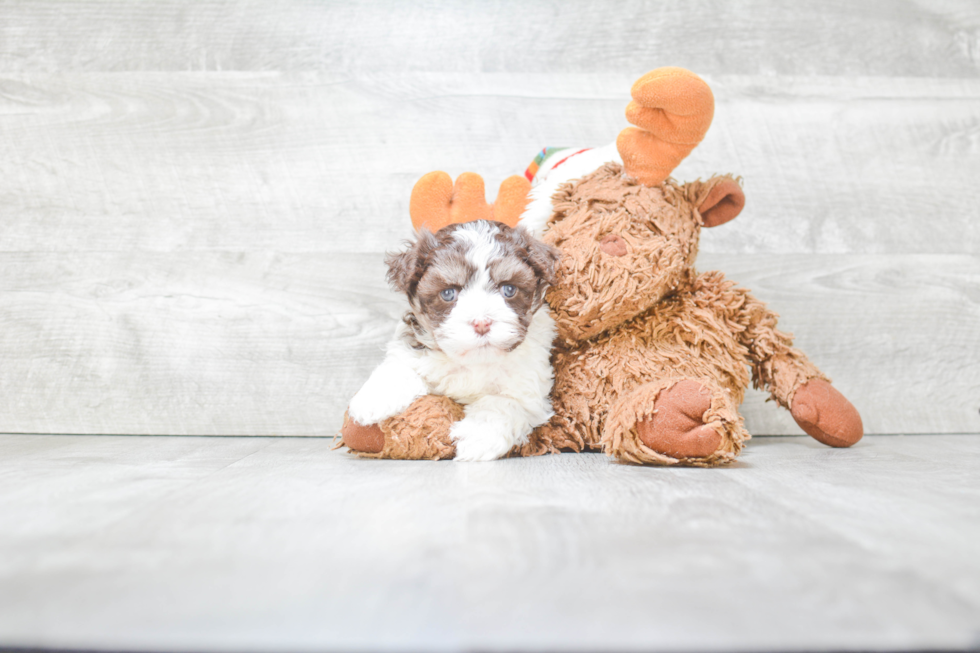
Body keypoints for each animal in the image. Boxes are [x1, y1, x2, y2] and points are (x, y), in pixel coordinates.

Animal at [346, 219, 560, 458]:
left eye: (509, 289)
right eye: (448, 293)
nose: (481, 323)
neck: (475, 361)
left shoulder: (530, 391)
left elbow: (503, 404)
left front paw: (478, 437)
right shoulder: (414, 349)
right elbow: (401, 366)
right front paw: (373, 399)